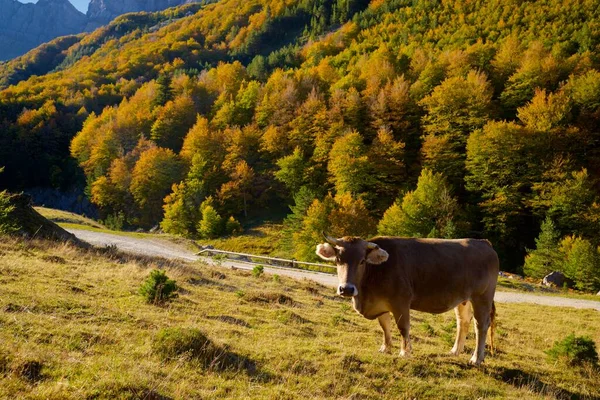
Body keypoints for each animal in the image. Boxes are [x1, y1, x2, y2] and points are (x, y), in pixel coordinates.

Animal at [316, 234, 500, 366]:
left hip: (482, 297)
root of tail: (483, 242)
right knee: (463, 322)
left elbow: (402, 327)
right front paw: (385, 348)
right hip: (463, 299)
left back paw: (476, 359)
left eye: (362, 261)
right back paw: (455, 351)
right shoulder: (381, 303)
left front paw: (405, 352)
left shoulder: (401, 301)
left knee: (481, 325)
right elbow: (384, 326)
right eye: (338, 260)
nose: (346, 289)